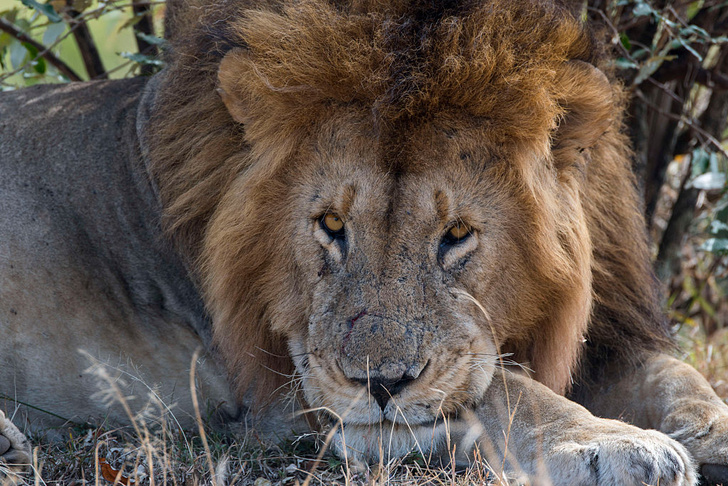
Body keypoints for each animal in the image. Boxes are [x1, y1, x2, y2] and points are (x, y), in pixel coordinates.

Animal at [1, 0, 728, 484]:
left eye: (457, 235)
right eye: (330, 226)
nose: (379, 386)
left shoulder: (610, 332)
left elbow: (681, 380)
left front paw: (712, 434)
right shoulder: (291, 398)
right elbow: (502, 390)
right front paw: (611, 444)